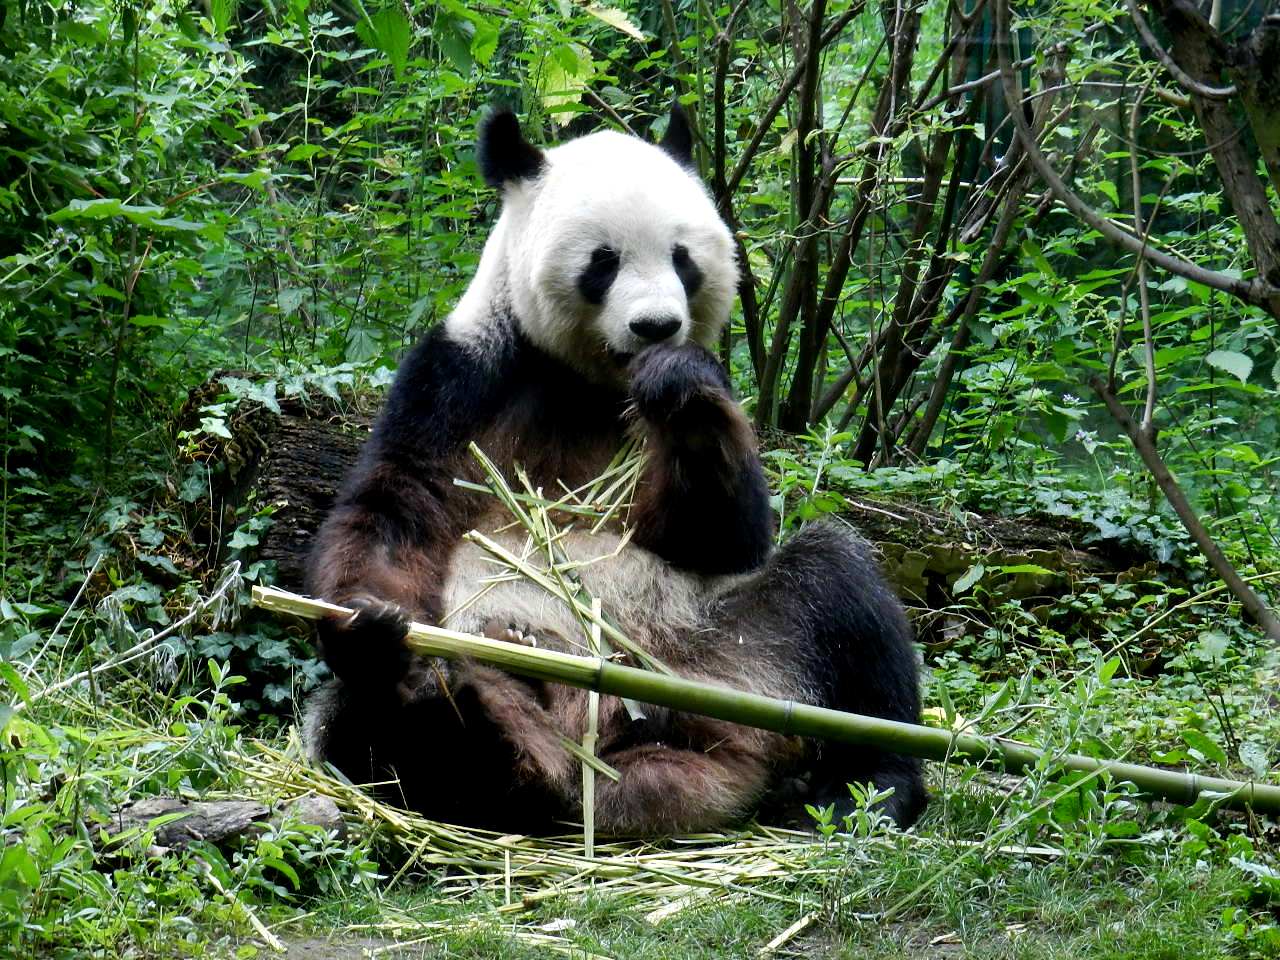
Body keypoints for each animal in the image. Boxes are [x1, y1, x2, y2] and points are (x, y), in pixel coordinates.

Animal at [299, 104, 926, 839]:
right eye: (603, 262)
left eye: (683, 258)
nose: (657, 326)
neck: (593, 385)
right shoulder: (461, 380)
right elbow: (396, 505)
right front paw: (366, 622)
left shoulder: (706, 407)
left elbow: (722, 540)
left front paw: (677, 385)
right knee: (361, 717)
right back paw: (464, 730)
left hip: (736, 646)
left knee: (841, 593)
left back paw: (868, 791)